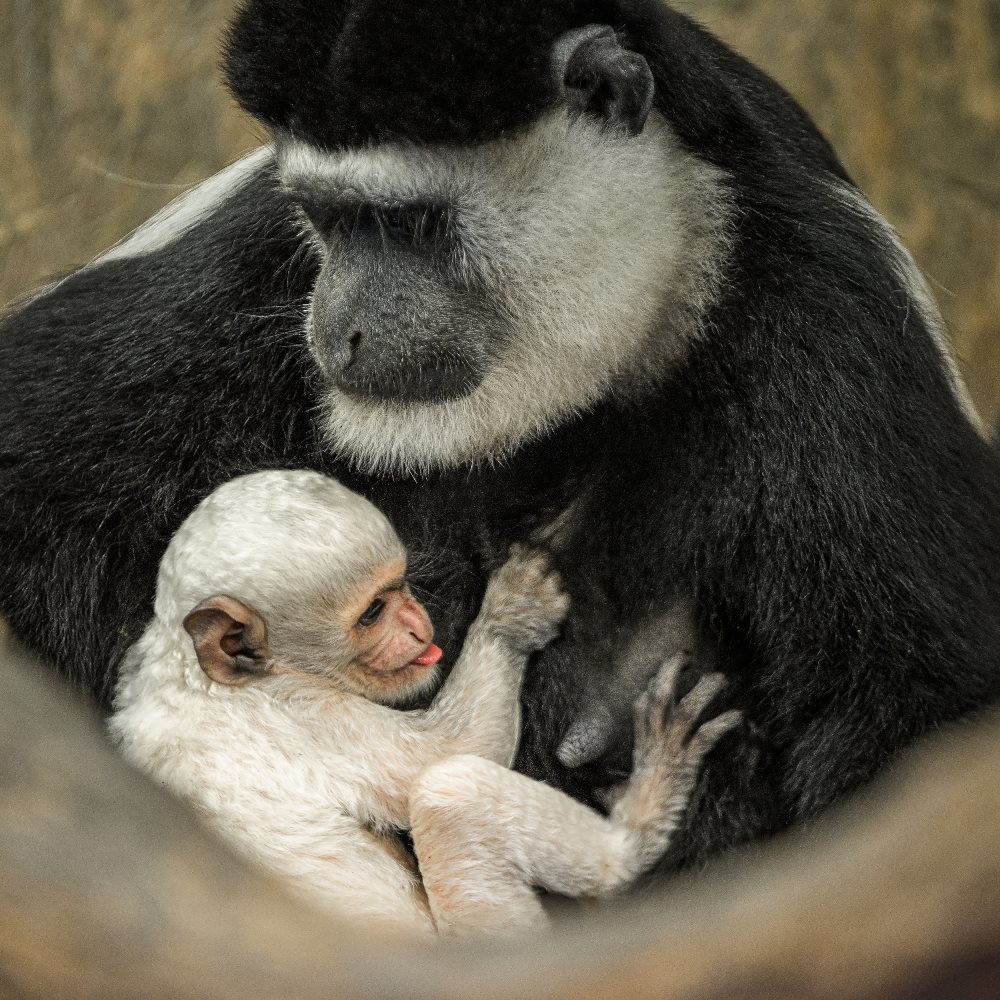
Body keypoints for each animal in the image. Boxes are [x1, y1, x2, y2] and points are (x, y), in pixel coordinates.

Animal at [1, 0, 1000, 872]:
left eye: (407, 224)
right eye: (328, 219)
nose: (338, 329)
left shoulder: (837, 325)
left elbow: (902, 709)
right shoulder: (253, 262)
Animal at [109, 468, 740, 936]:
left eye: (403, 586)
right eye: (373, 612)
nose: (417, 625)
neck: (187, 668)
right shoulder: (299, 711)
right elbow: (451, 752)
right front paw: (512, 613)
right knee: (449, 790)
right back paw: (634, 837)